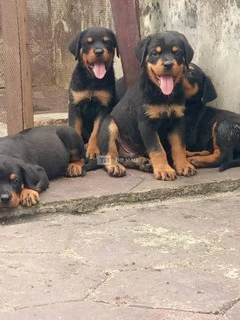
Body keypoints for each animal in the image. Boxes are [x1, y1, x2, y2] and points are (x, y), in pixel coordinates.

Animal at [68, 26, 118, 160]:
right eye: (88, 42)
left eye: (107, 41)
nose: (99, 51)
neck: (92, 81)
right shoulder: (74, 105)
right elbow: (75, 128)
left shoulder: (103, 107)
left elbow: (96, 131)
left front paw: (93, 150)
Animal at [98, 30, 197, 180]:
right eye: (155, 53)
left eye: (177, 52)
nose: (168, 64)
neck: (163, 94)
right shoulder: (147, 123)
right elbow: (157, 149)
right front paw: (164, 170)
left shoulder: (178, 119)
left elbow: (179, 146)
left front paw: (184, 165)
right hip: (110, 125)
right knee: (110, 154)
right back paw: (115, 167)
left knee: (125, 158)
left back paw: (143, 163)